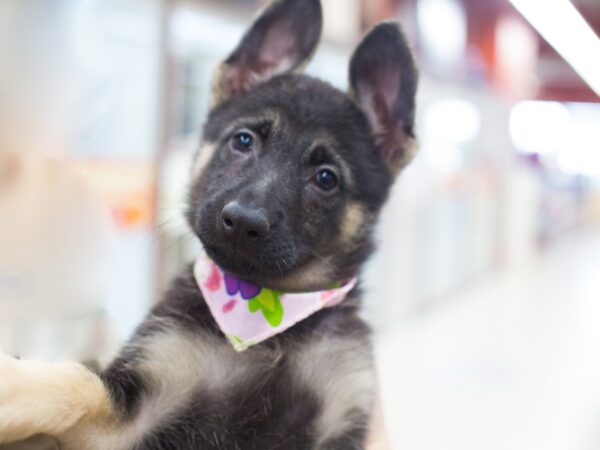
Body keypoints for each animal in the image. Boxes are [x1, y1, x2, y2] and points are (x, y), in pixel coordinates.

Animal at [0, 0, 418, 448]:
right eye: (243, 141)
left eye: (326, 178)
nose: (243, 222)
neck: (267, 316)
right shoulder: (135, 410)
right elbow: (78, 382)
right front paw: (14, 384)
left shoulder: (342, 419)